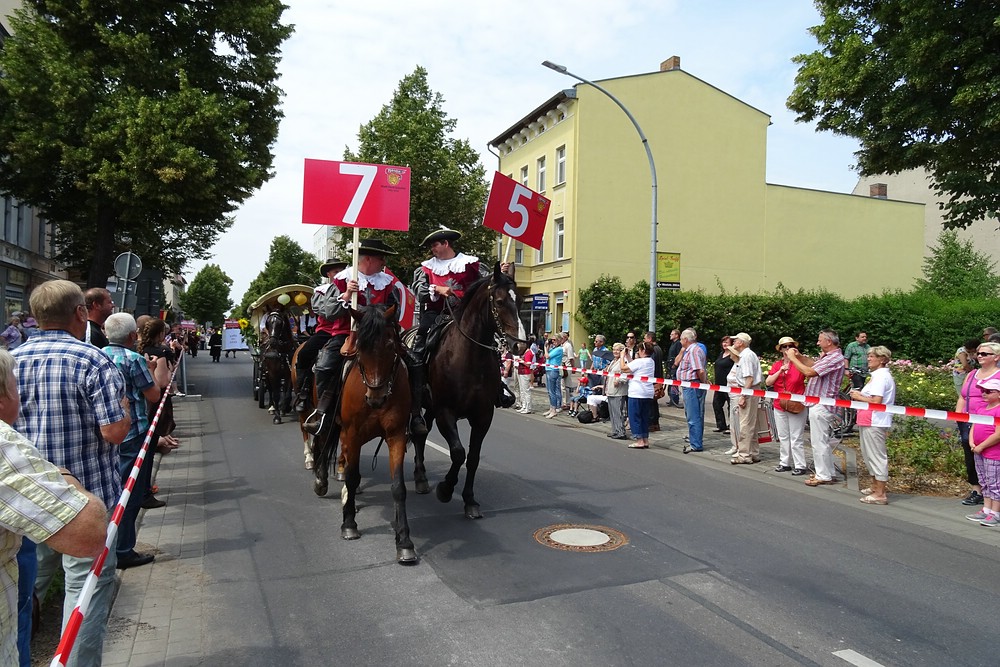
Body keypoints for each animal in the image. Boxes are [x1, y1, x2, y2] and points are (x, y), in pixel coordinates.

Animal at [333, 303, 415, 564]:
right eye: (360, 347)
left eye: (390, 345)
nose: (376, 398)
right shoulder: (352, 434)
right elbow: (351, 476)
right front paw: (349, 524)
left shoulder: (396, 435)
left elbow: (398, 488)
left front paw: (404, 541)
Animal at [410, 262, 525, 519]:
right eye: (499, 301)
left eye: (521, 301)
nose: (520, 345)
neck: (469, 357)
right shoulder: (446, 412)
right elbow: (458, 452)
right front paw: (445, 489)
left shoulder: (483, 416)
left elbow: (472, 458)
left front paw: (470, 500)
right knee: (417, 432)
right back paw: (421, 478)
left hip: (430, 408)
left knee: (422, 434)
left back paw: (421, 476)